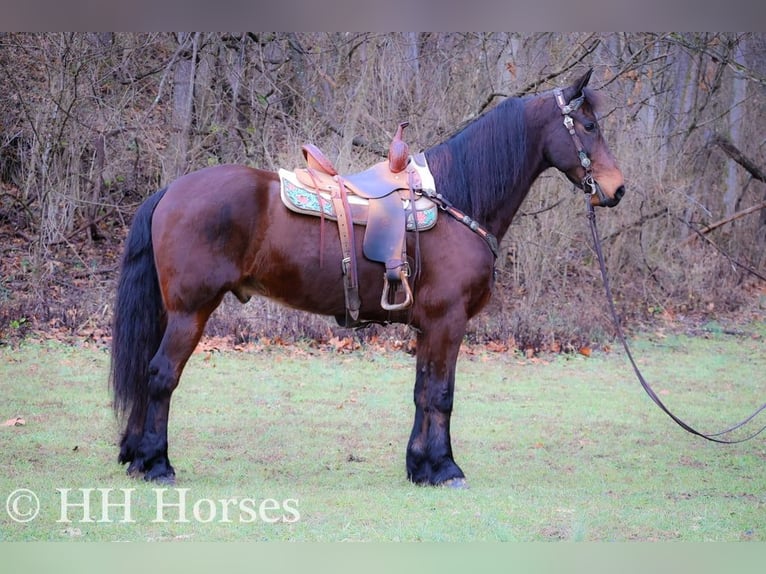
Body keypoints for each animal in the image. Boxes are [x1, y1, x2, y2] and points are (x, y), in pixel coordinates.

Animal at [109, 70, 624, 488]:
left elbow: (423, 391)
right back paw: (157, 464)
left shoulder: (430, 327)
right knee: (161, 375)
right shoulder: (448, 321)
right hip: (190, 311)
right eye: (589, 126)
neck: (456, 200)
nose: (617, 189)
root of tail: (171, 190)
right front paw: (445, 469)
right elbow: (441, 394)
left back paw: (136, 457)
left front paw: (421, 467)